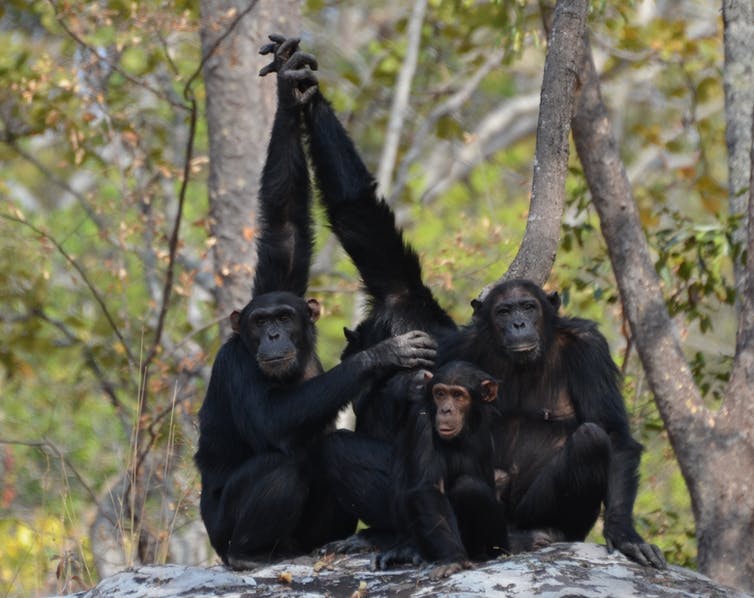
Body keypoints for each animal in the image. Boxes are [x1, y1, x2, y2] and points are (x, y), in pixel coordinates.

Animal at [194, 35, 434, 568]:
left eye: (283, 316)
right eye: (259, 323)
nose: (273, 334)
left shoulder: (281, 277)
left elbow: (284, 225)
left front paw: (292, 89)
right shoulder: (234, 363)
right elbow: (272, 420)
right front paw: (383, 356)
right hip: (218, 533)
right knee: (280, 466)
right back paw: (250, 555)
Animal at [440, 278, 664, 568]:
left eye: (528, 307)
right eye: (504, 312)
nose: (519, 324)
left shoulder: (590, 348)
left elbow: (612, 432)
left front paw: (624, 534)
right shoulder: (455, 349)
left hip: (533, 514)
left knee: (590, 440)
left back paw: (549, 532)